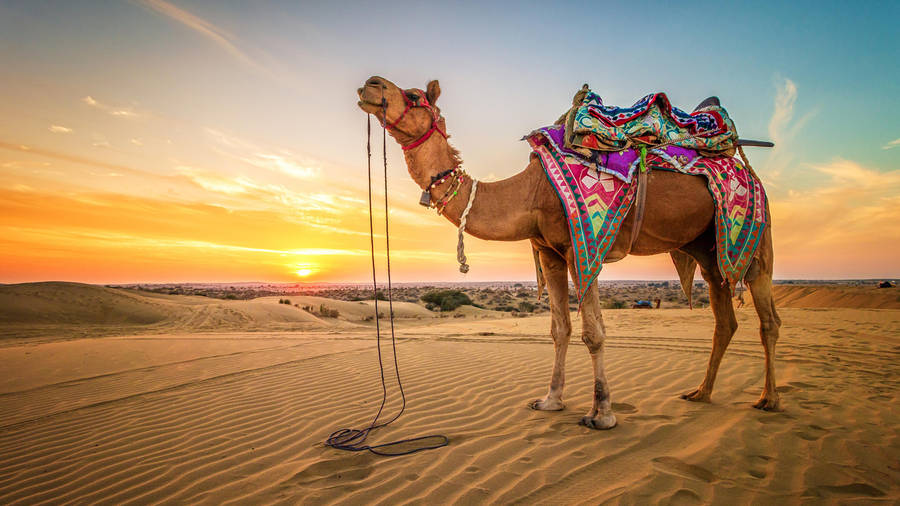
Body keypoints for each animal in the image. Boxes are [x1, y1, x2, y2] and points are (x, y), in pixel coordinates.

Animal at [357, 76, 782, 430]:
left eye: (414, 96)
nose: (370, 85)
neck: (529, 192)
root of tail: (745, 167)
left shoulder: (583, 246)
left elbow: (593, 332)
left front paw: (602, 413)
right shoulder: (549, 253)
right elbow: (559, 328)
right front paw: (550, 400)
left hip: (757, 235)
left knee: (768, 318)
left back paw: (768, 399)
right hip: (707, 248)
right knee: (724, 317)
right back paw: (701, 392)